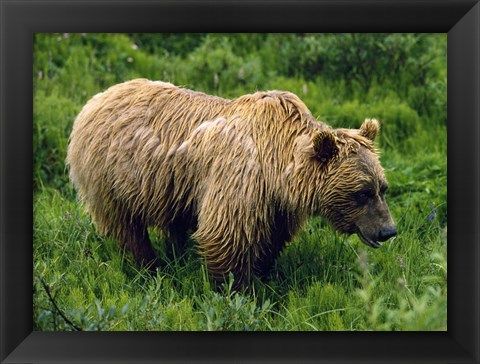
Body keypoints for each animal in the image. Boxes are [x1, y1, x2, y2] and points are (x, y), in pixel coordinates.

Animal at [67, 79, 398, 288]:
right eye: (362, 193)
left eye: (382, 188)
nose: (388, 230)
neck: (278, 167)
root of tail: (96, 98)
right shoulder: (241, 177)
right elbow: (227, 234)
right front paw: (235, 289)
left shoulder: (277, 204)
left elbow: (272, 238)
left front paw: (264, 274)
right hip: (111, 176)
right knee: (127, 227)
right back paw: (150, 265)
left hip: (172, 185)